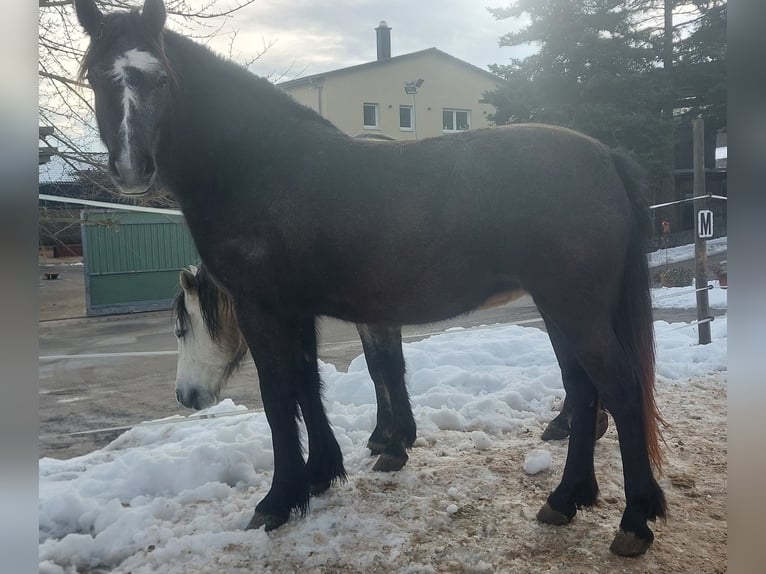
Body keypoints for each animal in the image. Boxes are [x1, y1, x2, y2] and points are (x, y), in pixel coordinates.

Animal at [75, 0, 666, 556]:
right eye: (94, 76)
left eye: (161, 78)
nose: (132, 169)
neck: (259, 166)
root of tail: (607, 158)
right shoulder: (299, 311)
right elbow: (308, 387)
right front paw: (321, 475)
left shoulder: (264, 309)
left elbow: (279, 397)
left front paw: (278, 500)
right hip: (560, 309)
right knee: (584, 391)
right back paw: (566, 499)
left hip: (574, 309)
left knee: (619, 387)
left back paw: (633, 521)